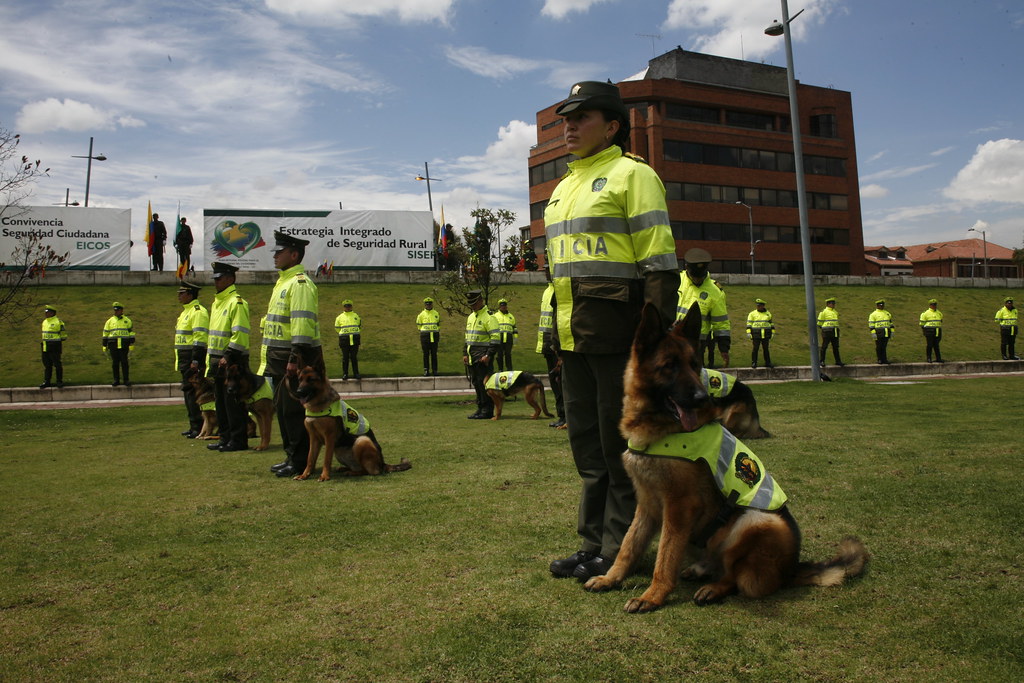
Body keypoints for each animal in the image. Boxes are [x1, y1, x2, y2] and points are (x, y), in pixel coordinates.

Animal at [581, 307, 868, 610]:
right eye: (669, 365)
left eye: (694, 364)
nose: (701, 397)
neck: (659, 429)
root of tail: (791, 568)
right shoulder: (647, 503)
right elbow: (629, 545)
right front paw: (610, 578)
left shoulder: (679, 506)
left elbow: (665, 556)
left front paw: (653, 595)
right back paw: (701, 570)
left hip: (755, 522)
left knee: (737, 576)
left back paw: (714, 588)